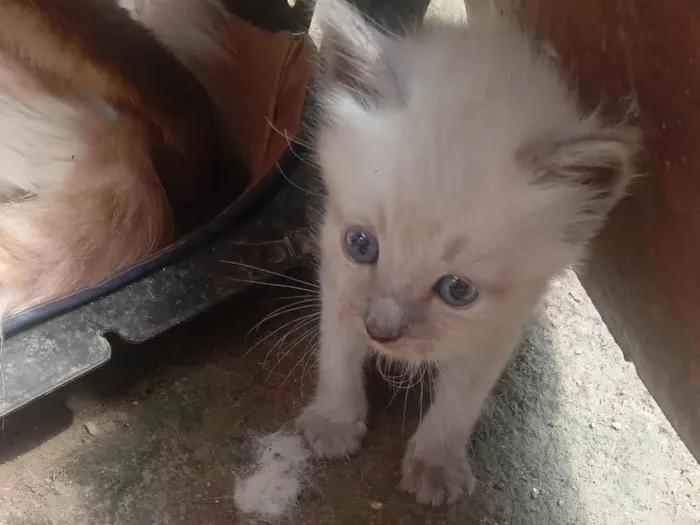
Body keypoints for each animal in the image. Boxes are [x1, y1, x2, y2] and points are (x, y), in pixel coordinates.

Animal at [296, 0, 640, 508]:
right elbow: (337, 351)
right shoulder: (337, 272)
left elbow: (461, 399)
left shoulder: (500, 322)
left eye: (457, 290)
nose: (381, 332)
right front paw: (335, 420)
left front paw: (436, 463)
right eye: (361, 245)